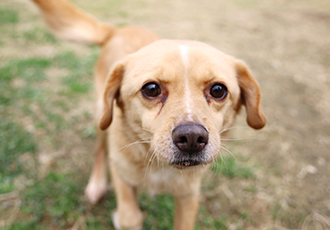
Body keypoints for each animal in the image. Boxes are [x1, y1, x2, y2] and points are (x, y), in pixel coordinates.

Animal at [31, 0, 266, 229]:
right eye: (151, 89)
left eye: (218, 90)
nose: (192, 138)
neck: (157, 166)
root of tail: (117, 30)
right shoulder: (120, 171)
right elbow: (129, 217)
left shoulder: (189, 195)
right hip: (100, 115)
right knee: (99, 149)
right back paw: (96, 184)